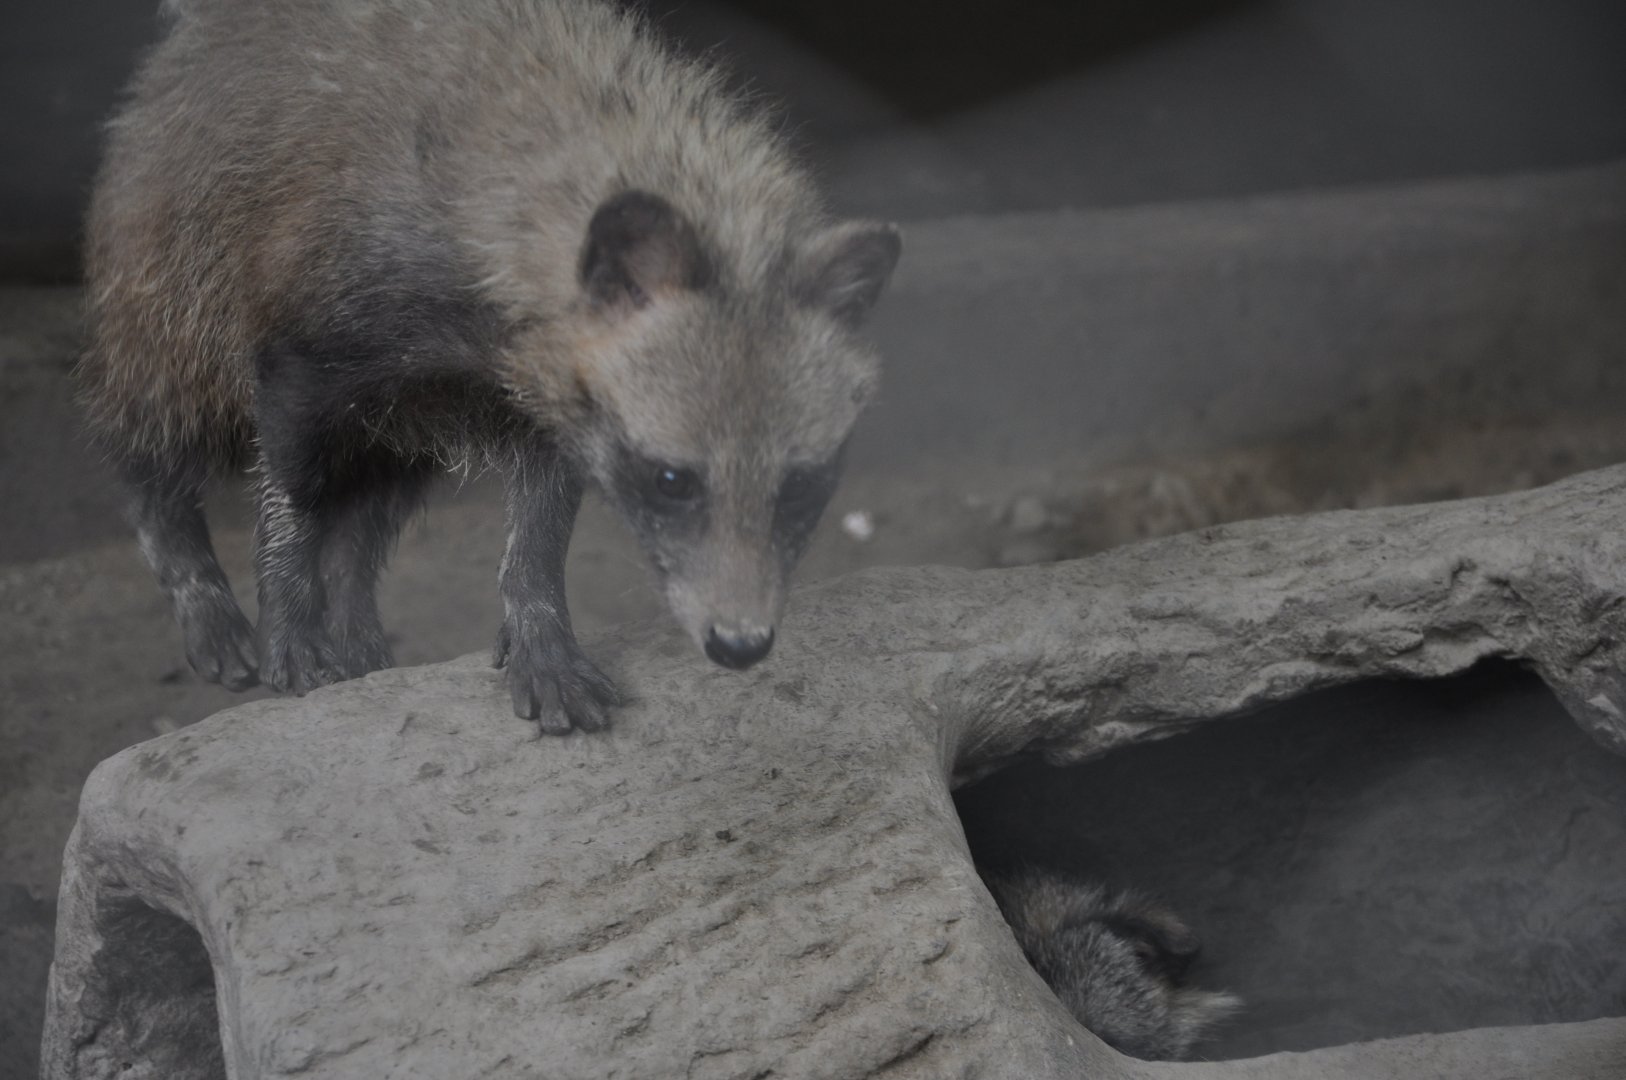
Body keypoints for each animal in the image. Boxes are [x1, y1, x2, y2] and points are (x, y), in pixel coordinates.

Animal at [79, 0, 901, 731]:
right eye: (673, 479)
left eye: (803, 483)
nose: (740, 645)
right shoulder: (308, 347)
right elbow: (292, 501)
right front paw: (286, 614)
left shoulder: (553, 398)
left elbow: (538, 532)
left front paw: (540, 632)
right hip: (170, 301)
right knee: (151, 441)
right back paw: (197, 576)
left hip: (400, 425)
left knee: (363, 523)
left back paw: (358, 634)